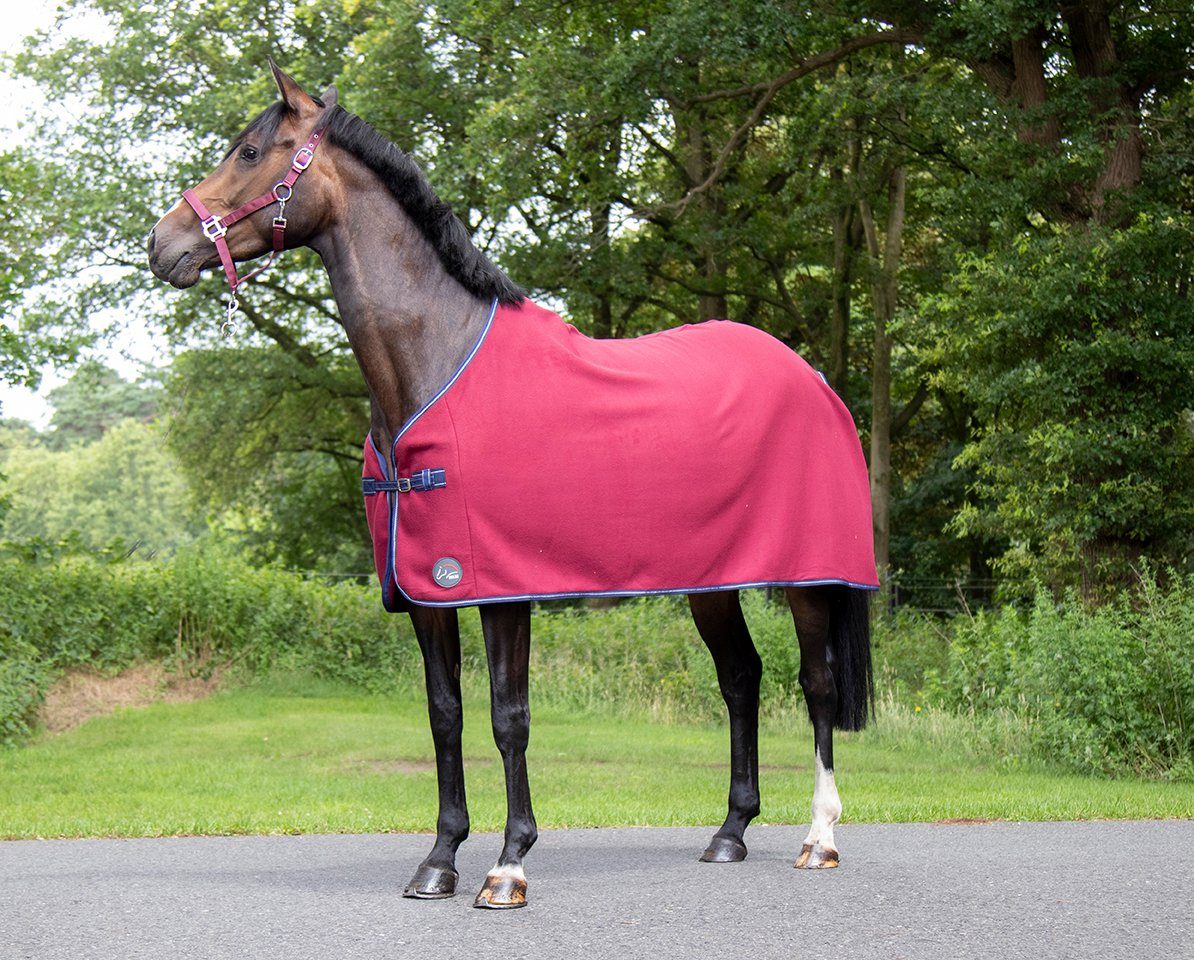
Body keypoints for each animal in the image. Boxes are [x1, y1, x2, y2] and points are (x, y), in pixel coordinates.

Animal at [148, 62, 878, 910]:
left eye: (249, 150)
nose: (163, 244)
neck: (434, 363)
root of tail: (813, 380)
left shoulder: (502, 589)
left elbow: (508, 717)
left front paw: (508, 864)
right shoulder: (427, 593)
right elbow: (445, 714)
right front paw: (438, 860)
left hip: (807, 578)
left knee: (816, 685)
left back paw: (819, 838)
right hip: (713, 581)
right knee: (741, 679)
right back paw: (729, 833)